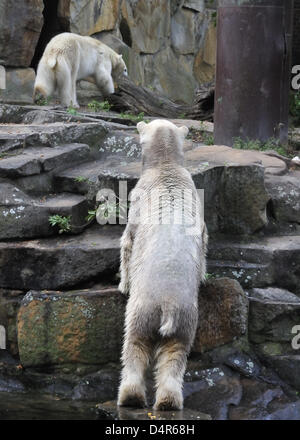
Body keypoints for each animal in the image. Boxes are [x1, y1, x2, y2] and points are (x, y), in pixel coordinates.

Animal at [118, 118, 209, 410]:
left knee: (135, 344)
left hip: (143, 311)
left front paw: (122, 284)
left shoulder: (138, 199)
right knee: (175, 354)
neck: (166, 166)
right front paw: (204, 276)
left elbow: (128, 242)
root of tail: (167, 305)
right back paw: (169, 401)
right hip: (186, 319)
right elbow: (205, 239)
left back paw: (130, 396)